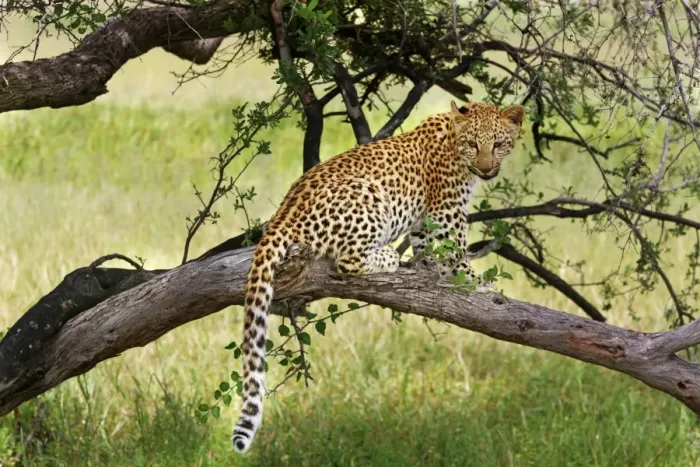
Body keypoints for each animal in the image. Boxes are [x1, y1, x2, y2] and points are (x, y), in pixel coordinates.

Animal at [231, 100, 525, 453]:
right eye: (473, 144)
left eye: (498, 144)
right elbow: (457, 256)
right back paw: (390, 257)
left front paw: (432, 269)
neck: (455, 145)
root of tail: (282, 217)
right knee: (346, 260)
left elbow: (431, 251)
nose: (485, 169)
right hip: (368, 194)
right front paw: (481, 287)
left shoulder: (424, 221)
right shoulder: (447, 212)